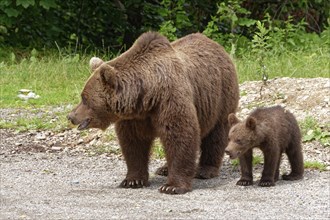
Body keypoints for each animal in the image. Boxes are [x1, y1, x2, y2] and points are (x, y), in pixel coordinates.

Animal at [67, 31, 238, 194]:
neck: (147, 97)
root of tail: (217, 46)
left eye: (84, 98)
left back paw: (205, 170)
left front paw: (172, 187)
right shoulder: (134, 118)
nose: (71, 116)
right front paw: (133, 180)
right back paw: (164, 168)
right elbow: (133, 143)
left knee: (216, 134)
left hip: (220, 96)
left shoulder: (170, 100)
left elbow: (180, 135)